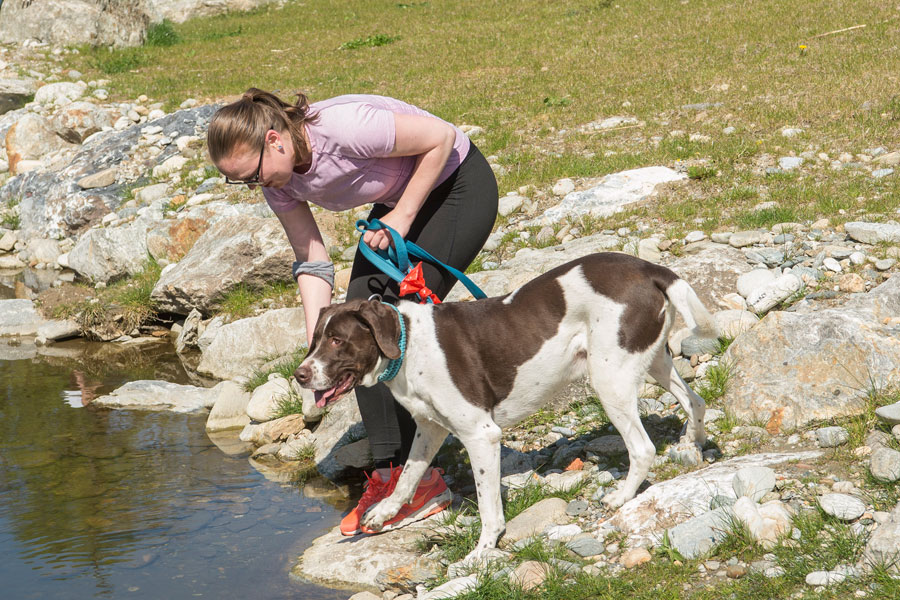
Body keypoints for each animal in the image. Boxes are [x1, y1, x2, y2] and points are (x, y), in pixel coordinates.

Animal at [296, 251, 716, 560]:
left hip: (609, 380)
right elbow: (407, 478)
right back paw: (691, 444)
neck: (407, 342)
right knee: (695, 400)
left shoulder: (481, 435)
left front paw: (483, 551)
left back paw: (621, 496)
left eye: (337, 340)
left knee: (642, 448)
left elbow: (487, 506)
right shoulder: (430, 428)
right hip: (653, 361)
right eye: (315, 339)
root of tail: (650, 269)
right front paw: (384, 512)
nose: (300, 375)